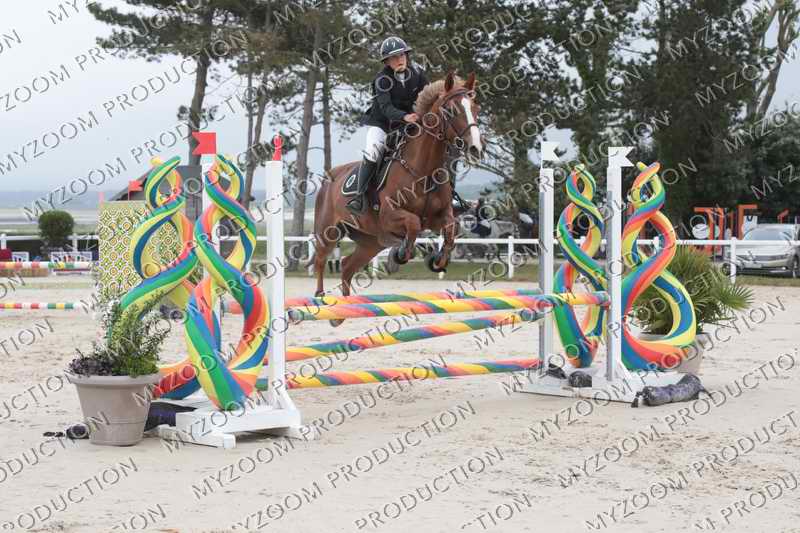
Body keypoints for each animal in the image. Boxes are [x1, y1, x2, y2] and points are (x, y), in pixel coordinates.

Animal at [312, 72, 483, 313]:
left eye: (476, 108)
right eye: (451, 110)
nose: (476, 148)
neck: (424, 171)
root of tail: (328, 177)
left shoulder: (439, 217)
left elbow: (451, 229)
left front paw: (438, 261)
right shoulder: (389, 216)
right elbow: (413, 224)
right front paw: (401, 255)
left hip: (372, 241)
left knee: (347, 266)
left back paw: (341, 313)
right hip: (329, 230)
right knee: (320, 259)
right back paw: (320, 298)